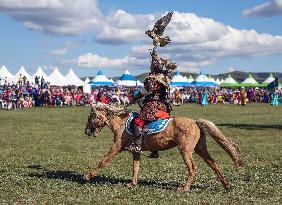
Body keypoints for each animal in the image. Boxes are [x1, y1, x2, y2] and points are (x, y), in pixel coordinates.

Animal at [83, 102, 242, 192]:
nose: (87, 131)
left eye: (90, 117)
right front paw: (132, 184)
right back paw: (227, 185)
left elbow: (103, 161)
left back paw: (184, 188)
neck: (121, 124)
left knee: (193, 168)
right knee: (213, 164)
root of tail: (196, 122)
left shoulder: (116, 147)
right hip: (200, 148)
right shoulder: (136, 150)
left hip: (185, 150)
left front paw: (88, 176)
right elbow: (135, 167)